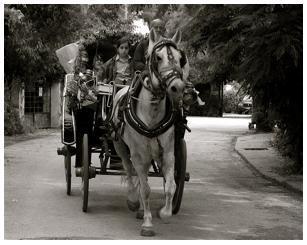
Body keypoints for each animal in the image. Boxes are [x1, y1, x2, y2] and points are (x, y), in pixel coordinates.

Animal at [110, 29, 189, 237]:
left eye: (181, 58)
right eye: (158, 57)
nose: (178, 87)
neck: (151, 113)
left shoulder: (168, 153)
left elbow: (171, 185)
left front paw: (165, 213)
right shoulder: (138, 155)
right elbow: (144, 188)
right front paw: (147, 223)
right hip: (120, 146)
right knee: (130, 170)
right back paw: (133, 201)